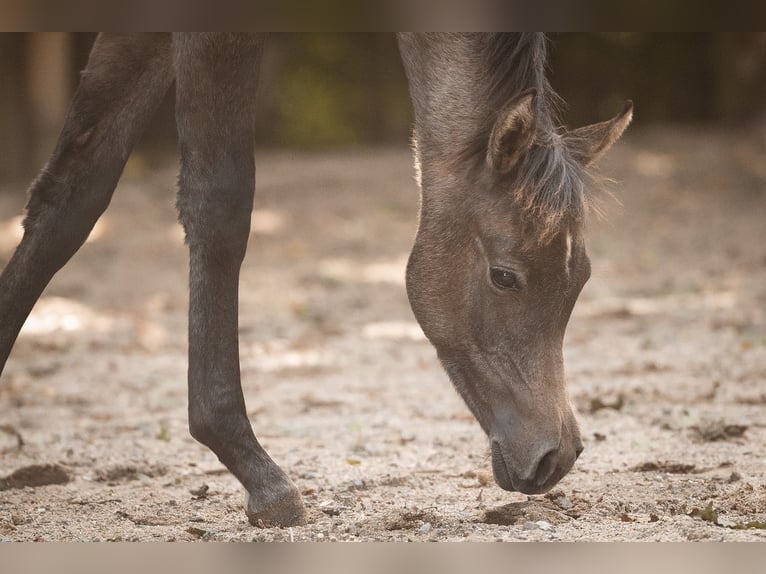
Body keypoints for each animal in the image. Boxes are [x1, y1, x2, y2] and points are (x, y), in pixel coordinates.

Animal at [0, 33, 631, 527]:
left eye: (581, 279)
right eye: (504, 276)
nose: (557, 457)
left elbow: (73, 194)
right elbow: (218, 202)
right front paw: (255, 469)